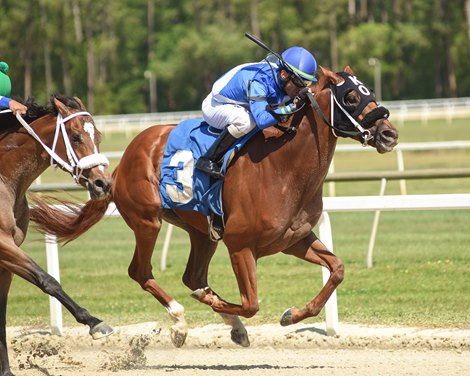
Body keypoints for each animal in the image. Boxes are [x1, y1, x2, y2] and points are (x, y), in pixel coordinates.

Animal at [0, 94, 113, 376]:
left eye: (98, 136)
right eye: (75, 136)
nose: (103, 183)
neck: (5, 181)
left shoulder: (7, 257)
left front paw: (6, 370)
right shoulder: (3, 244)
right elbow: (47, 279)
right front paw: (94, 322)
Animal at [30, 67, 396, 350]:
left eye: (368, 90)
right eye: (351, 97)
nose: (389, 133)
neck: (284, 167)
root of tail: (119, 166)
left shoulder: (293, 239)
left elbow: (337, 270)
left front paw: (291, 314)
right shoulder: (240, 244)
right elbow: (251, 303)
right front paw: (218, 308)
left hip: (202, 232)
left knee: (192, 275)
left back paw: (223, 320)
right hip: (148, 221)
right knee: (141, 272)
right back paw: (180, 322)